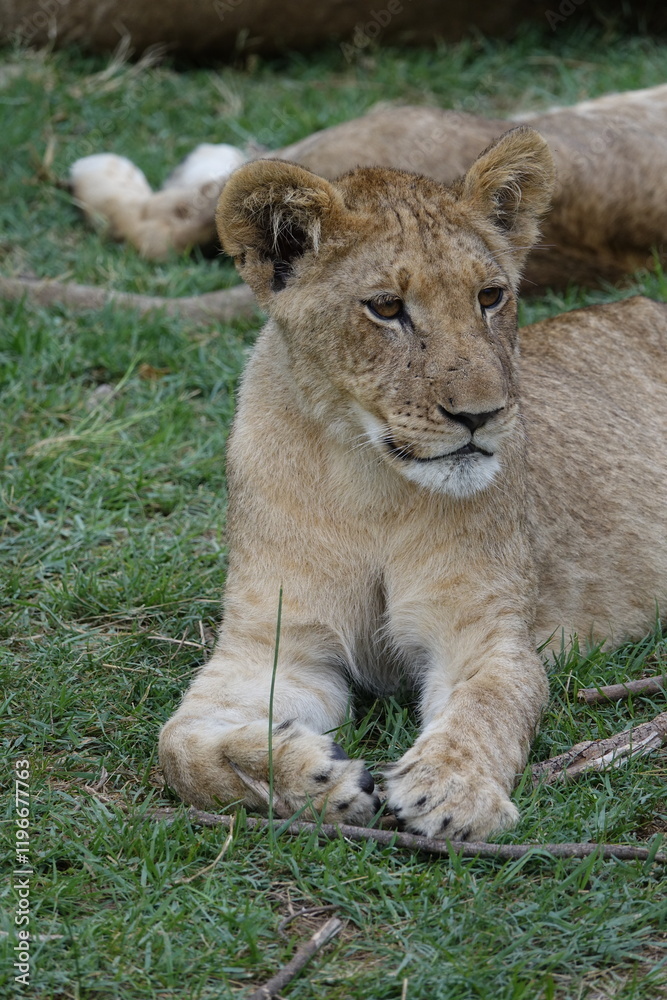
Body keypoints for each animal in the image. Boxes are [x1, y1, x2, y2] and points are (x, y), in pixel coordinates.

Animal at [158, 127, 667, 840]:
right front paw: (307, 777)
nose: (480, 415)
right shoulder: (273, 646)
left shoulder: (483, 635)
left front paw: (451, 791)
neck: (369, 483)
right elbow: (178, 745)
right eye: (386, 308)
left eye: (490, 296)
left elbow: (487, 707)